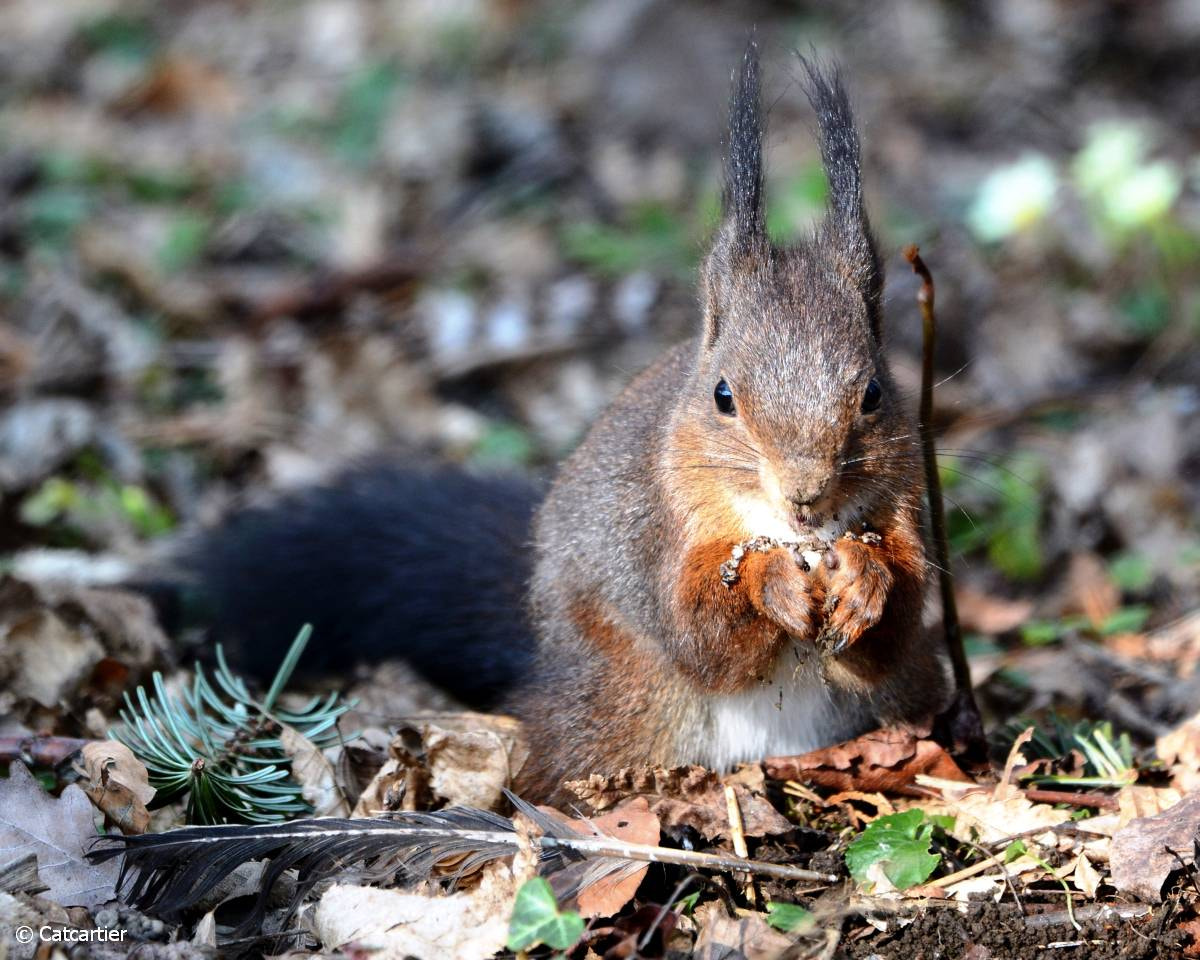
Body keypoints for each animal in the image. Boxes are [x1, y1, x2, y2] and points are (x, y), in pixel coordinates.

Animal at [187, 48, 945, 806]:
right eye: (724, 396)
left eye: (873, 393)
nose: (805, 494)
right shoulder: (655, 532)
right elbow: (698, 636)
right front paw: (772, 583)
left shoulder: (905, 512)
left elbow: (895, 627)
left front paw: (867, 582)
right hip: (617, 710)